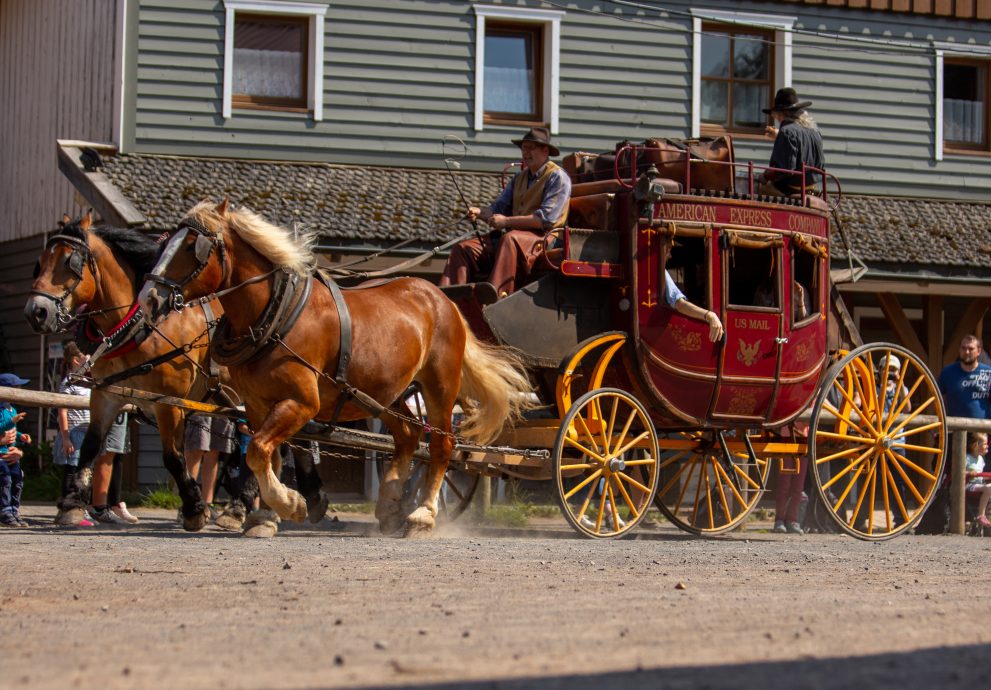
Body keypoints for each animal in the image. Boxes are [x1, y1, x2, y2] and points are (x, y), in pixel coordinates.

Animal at [25, 210, 256, 528]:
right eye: (40, 262)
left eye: (69, 261)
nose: (36, 312)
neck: (140, 327)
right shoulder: (107, 394)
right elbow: (90, 446)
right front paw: (72, 502)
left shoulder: (168, 402)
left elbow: (173, 457)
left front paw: (195, 508)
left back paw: (242, 507)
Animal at [140, 199, 536, 532]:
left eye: (192, 246)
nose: (149, 299)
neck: (277, 313)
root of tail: (443, 298)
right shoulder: (255, 405)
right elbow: (267, 454)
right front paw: (267, 515)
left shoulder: (302, 403)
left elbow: (258, 450)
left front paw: (290, 504)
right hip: (383, 392)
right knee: (408, 436)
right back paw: (390, 505)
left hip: (439, 384)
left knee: (442, 444)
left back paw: (422, 515)